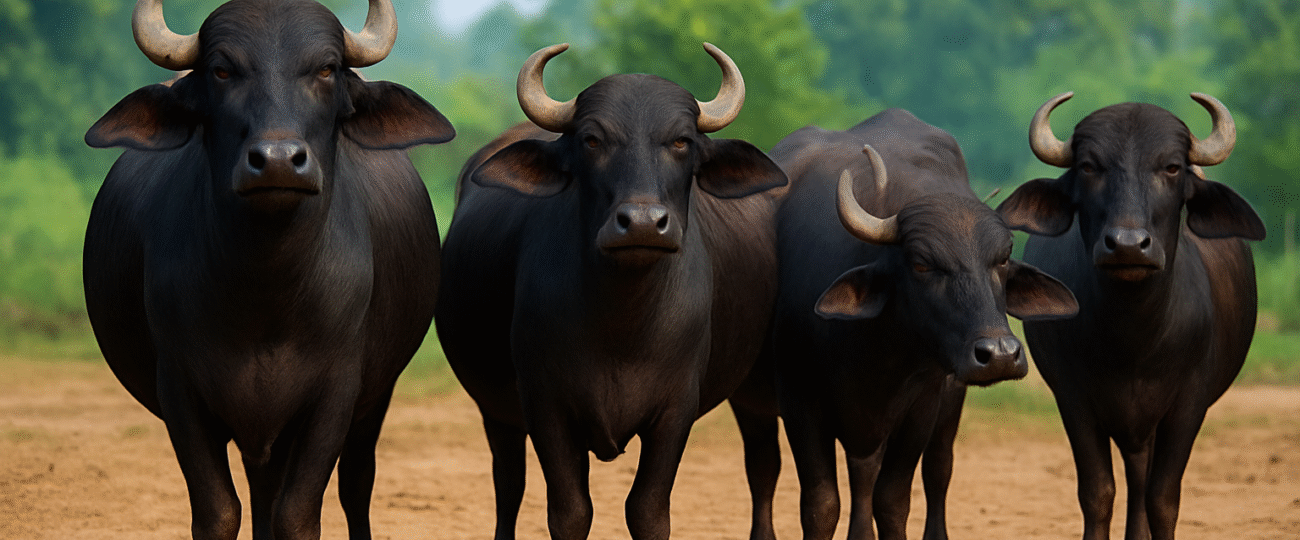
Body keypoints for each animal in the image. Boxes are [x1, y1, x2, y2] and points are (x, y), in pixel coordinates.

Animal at [83, 0, 453, 538]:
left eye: (326, 69)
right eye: (222, 70)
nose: (278, 160)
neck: (267, 294)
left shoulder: (337, 393)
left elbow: (297, 514)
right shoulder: (178, 388)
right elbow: (218, 511)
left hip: (372, 400)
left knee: (354, 484)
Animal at [434, 43, 787, 539]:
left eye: (682, 141)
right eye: (591, 140)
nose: (641, 223)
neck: (623, 325)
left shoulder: (676, 409)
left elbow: (648, 510)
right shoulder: (545, 404)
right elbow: (569, 512)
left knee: (762, 465)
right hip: (496, 407)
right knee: (508, 480)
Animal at [733, 109, 1078, 540]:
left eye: (1001, 259)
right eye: (922, 264)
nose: (1000, 354)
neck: (876, 350)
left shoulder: (923, 405)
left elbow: (892, 500)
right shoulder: (800, 403)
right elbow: (820, 504)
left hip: (947, 406)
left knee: (933, 469)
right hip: (752, 402)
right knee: (765, 470)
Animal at [997, 92, 1266, 540]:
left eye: (1172, 167)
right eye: (1089, 167)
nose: (1126, 245)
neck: (1133, 340)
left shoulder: (1189, 403)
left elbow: (1163, 498)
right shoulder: (1073, 398)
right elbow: (1098, 492)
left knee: (1143, 482)